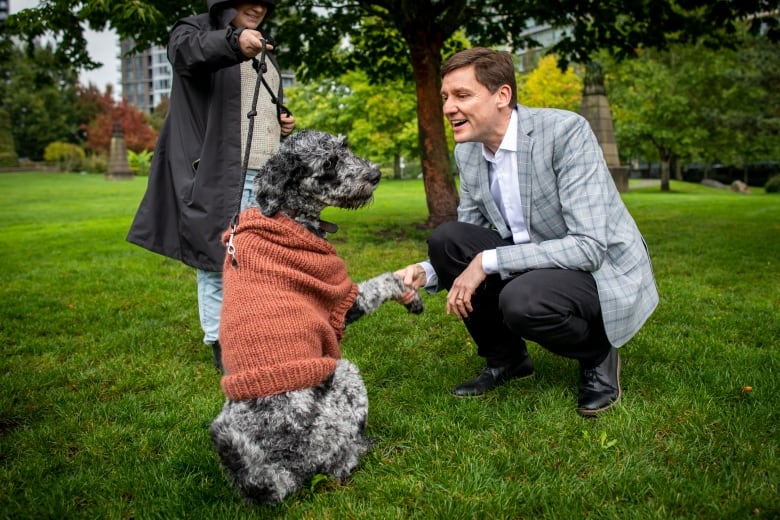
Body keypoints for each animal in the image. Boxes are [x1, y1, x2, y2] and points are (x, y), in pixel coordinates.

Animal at [210, 129, 424, 504]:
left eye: (345, 146)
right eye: (329, 164)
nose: (375, 175)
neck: (289, 215)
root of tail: (280, 473)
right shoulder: (343, 298)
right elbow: (385, 280)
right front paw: (409, 293)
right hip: (346, 375)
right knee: (339, 465)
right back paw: (360, 448)